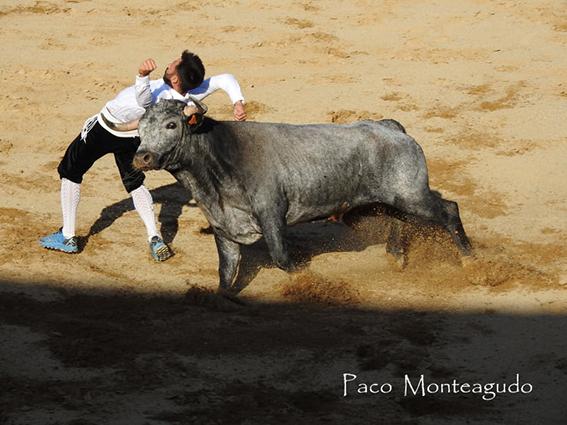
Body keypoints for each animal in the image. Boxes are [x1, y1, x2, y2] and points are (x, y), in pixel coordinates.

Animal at [135, 99, 472, 292]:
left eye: (171, 124)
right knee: (399, 218)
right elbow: (225, 273)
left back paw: (470, 262)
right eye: (140, 128)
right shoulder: (225, 228)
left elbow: (282, 258)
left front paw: (308, 279)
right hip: (382, 202)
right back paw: (397, 256)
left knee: (449, 210)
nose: (142, 157)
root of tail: (390, 128)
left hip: (412, 194)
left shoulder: (272, 216)